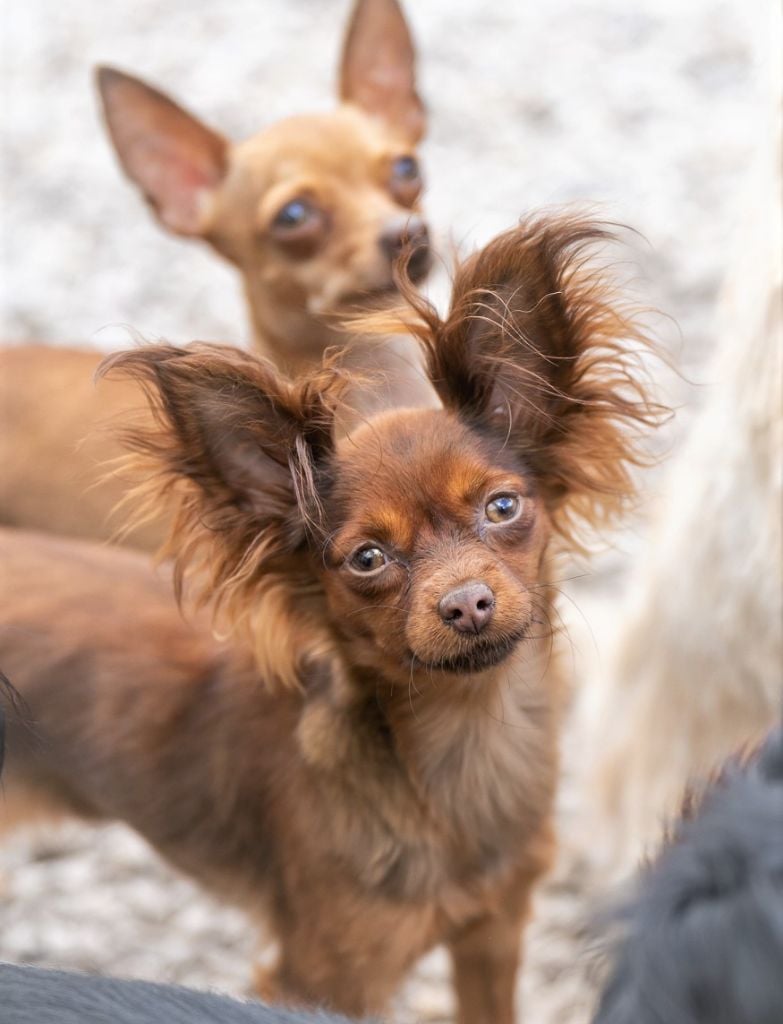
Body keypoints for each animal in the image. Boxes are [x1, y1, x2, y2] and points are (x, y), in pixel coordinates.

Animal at [0, 216, 658, 1022]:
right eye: (367, 559)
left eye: (501, 507)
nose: (466, 601)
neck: (464, 741)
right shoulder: (328, 975)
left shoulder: (494, 930)